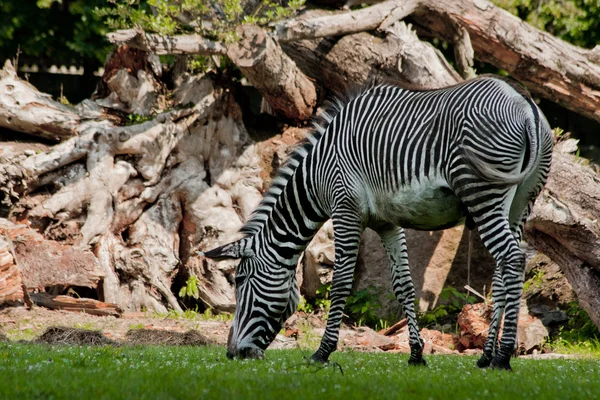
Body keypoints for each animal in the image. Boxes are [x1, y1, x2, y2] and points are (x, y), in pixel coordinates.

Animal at [200, 76, 552, 372]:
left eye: (240, 280)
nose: (233, 353)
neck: (317, 174)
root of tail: (526, 106)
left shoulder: (345, 210)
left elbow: (341, 283)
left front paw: (322, 353)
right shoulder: (388, 222)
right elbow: (404, 286)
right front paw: (416, 354)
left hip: (482, 193)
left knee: (512, 258)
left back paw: (503, 356)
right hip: (521, 203)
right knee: (503, 269)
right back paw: (486, 356)